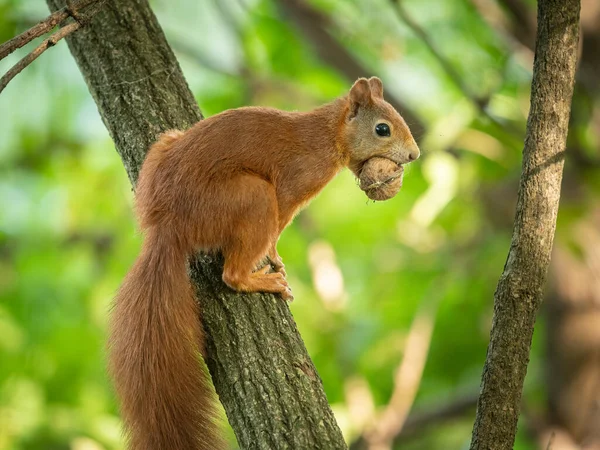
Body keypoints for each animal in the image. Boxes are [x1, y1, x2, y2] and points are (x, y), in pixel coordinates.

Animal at [109, 77, 418, 450]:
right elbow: (278, 228)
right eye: (382, 129)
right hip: (251, 198)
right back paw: (262, 280)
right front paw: (274, 256)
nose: (414, 155)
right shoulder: (294, 184)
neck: (327, 134)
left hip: (164, 146)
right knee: (232, 274)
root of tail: (169, 223)